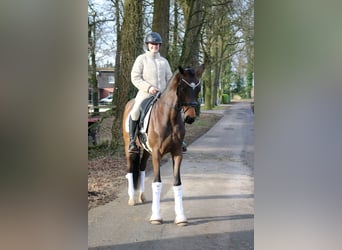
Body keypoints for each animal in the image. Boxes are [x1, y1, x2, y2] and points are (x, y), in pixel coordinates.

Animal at [122, 63, 204, 226]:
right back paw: (132, 199)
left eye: (198, 88)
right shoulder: (156, 154)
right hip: (130, 149)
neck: (169, 117)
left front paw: (181, 217)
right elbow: (157, 182)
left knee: (141, 169)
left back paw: (141, 196)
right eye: (183, 88)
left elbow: (177, 183)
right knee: (130, 169)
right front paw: (156, 216)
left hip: (146, 151)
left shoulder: (177, 153)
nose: (190, 117)